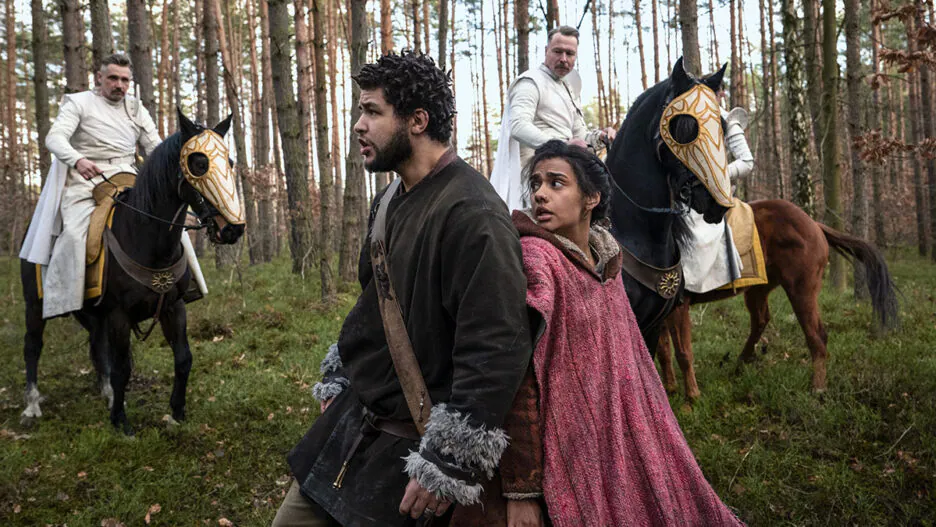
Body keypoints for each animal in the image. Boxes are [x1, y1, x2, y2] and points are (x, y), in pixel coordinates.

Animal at [21, 110, 245, 434]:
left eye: (229, 162)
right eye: (199, 164)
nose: (233, 229)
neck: (147, 238)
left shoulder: (173, 306)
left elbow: (183, 358)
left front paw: (176, 413)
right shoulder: (119, 314)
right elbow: (123, 367)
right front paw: (121, 421)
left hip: (93, 312)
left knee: (96, 344)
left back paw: (107, 394)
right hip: (35, 305)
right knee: (33, 347)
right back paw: (32, 405)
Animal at [656, 199, 896, 400]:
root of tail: (815, 225)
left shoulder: (679, 309)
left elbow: (683, 353)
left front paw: (691, 399)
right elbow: (663, 352)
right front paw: (669, 390)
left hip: (801, 290)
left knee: (816, 335)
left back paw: (817, 387)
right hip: (759, 289)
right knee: (761, 320)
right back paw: (740, 365)